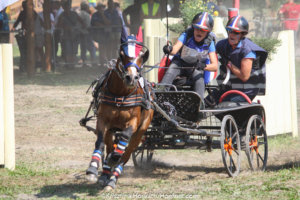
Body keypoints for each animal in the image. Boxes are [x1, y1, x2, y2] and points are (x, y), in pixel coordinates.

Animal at [85, 39, 154, 191]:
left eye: (141, 60)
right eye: (122, 56)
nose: (131, 78)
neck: (120, 95)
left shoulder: (133, 122)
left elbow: (124, 139)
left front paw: (114, 157)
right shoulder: (103, 120)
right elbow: (100, 142)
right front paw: (93, 169)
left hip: (140, 132)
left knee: (127, 154)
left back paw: (112, 179)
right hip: (111, 130)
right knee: (109, 146)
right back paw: (105, 174)